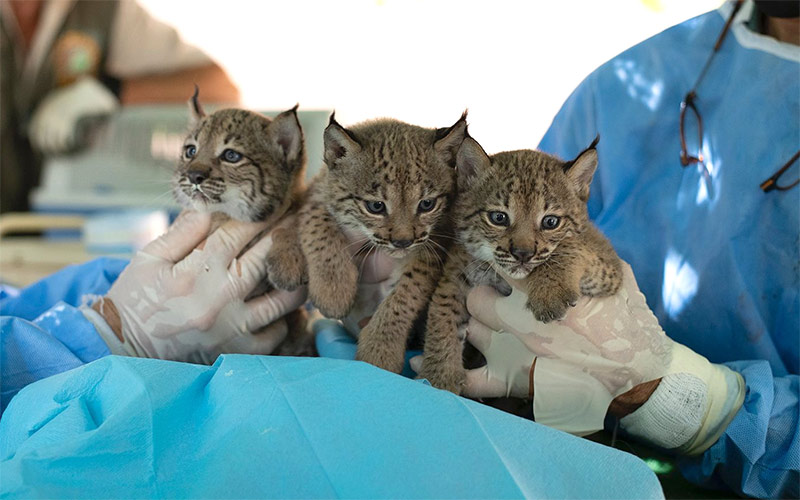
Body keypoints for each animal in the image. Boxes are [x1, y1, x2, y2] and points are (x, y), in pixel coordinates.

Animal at [173, 89, 310, 356]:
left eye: (231, 156)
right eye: (191, 151)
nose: (193, 176)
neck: (228, 216)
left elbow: (292, 220)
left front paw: (288, 261)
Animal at [268, 112, 468, 372]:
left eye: (427, 204)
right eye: (376, 206)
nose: (403, 242)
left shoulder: (434, 242)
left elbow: (406, 293)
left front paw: (380, 350)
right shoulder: (316, 191)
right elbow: (315, 221)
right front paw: (333, 290)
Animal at [422, 135, 620, 392]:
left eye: (550, 222)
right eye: (498, 218)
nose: (523, 253)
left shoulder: (610, 268)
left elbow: (570, 244)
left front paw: (550, 292)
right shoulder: (457, 271)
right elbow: (442, 314)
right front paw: (439, 378)